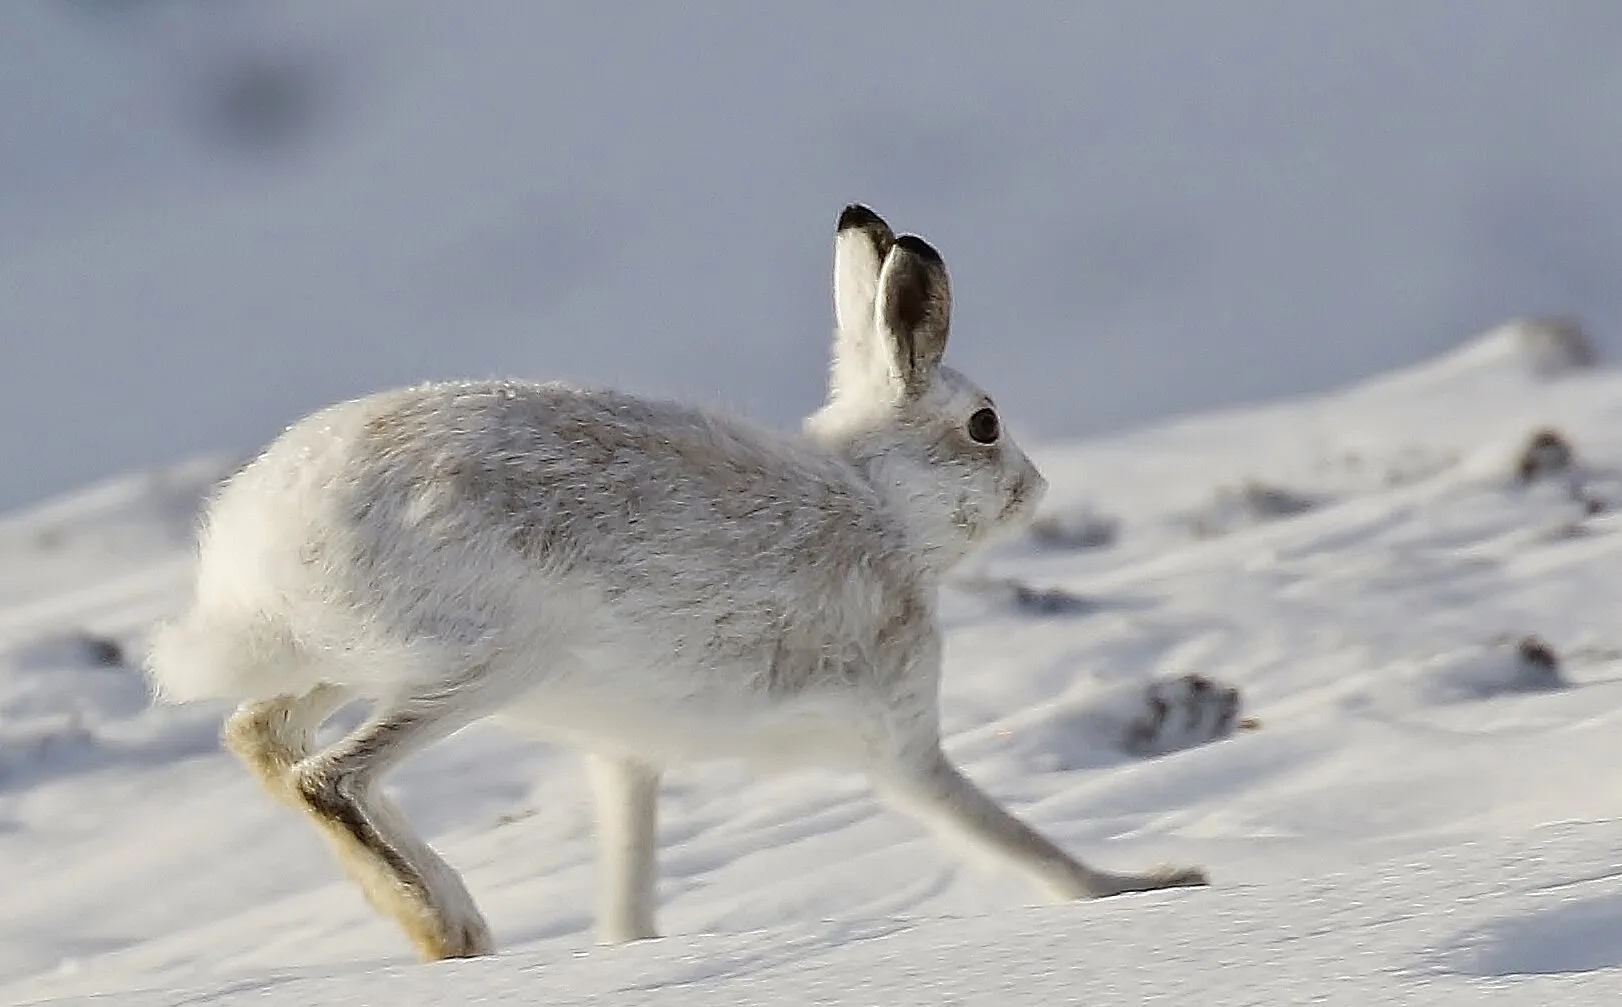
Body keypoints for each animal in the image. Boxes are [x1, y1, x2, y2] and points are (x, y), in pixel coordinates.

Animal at [145, 204, 1207, 962]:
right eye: (985, 426)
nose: (1035, 486)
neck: (883, 503)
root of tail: (253, 550)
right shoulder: (897, 737)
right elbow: (1007, 836)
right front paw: (1144, 888)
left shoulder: (629, 755)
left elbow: (631, 876)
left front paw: (632, 947)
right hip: (488, 661)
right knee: (330, 774)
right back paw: (449, 925)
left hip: (363, 661)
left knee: (261, 734)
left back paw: (450, 930)